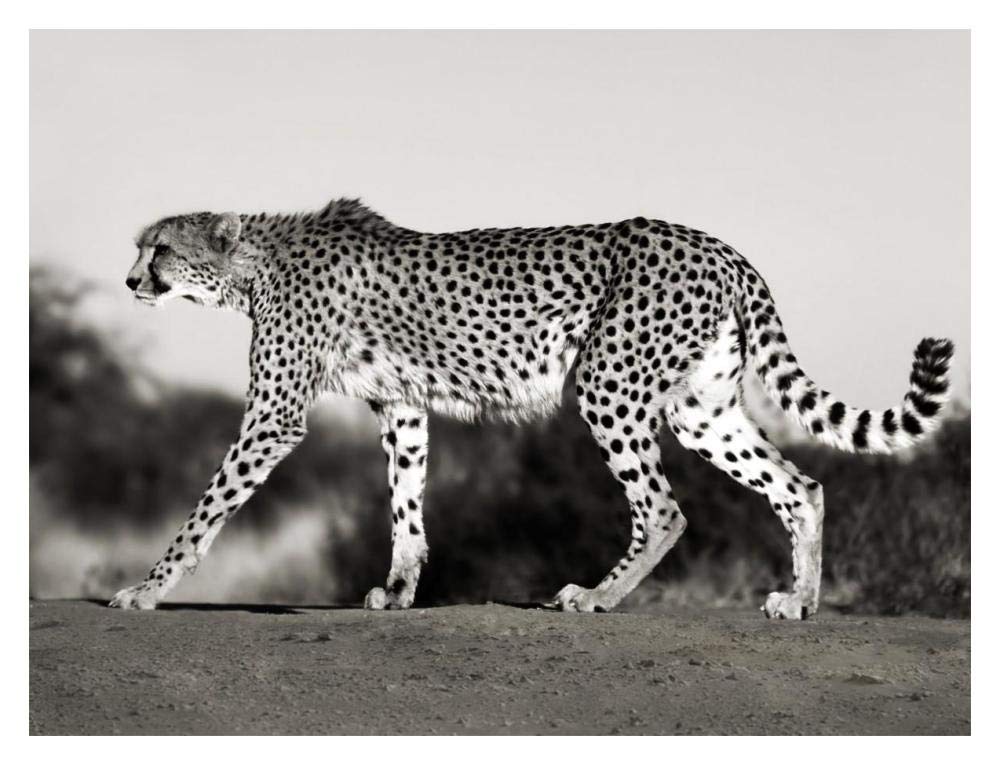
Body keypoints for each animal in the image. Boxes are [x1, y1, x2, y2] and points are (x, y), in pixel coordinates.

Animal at [111, 198, 954, 617]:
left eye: (159, 249)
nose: (129, 281)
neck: (254, 263)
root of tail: (717, 244)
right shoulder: (402, 404)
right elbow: (406, 503)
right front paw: (400, 589)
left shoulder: (276, 413)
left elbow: (207, 508)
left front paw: (147, 588)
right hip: (700, 408)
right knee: (800, 484)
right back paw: (799, 600)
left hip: (609, 383)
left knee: (664, 508)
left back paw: (597, 595)